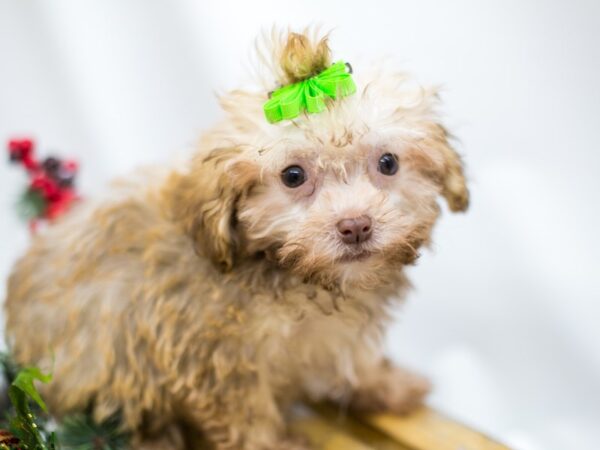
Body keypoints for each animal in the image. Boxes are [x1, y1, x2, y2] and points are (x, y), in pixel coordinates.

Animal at [3, 29, 468, 450]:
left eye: (388, 163)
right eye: (293, 175)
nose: (355, 225)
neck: (295, 277)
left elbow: (356, 357)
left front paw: (385, 385)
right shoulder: (217, 361)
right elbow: (248, 415)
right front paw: (275, 446)